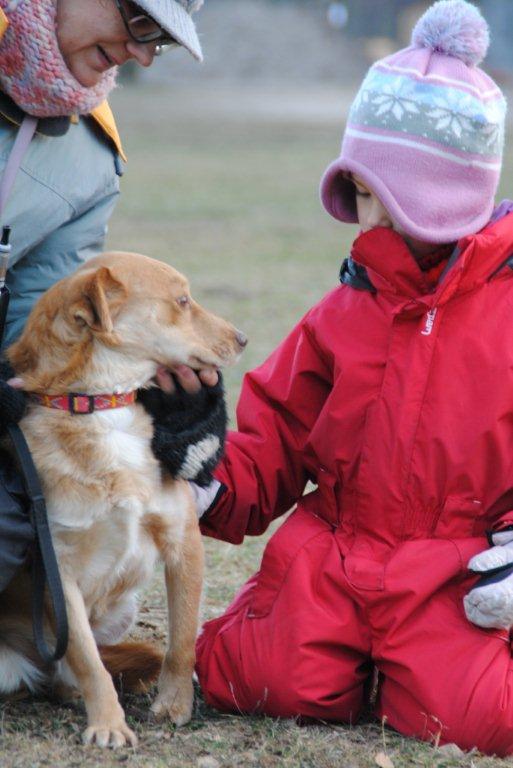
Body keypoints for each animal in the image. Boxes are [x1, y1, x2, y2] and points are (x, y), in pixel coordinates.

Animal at [0, 250, 246, 744]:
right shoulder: (59, 569)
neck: (102, 406)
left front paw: (174, 705)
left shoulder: (183, 540)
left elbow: (182, 639)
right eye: (182, 300)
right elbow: (88, 659)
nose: (244, 339)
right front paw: (109, 725)